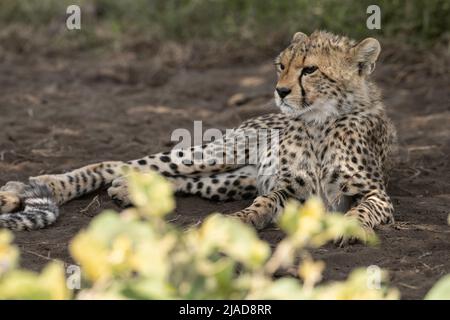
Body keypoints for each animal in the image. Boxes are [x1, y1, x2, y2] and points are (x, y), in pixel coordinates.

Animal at [0, 31, 396, 245]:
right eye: (280, 65)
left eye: (310, 69)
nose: (281, 91)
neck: (318, 123)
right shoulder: (287, 189)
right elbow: (264, 203)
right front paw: (241, 220)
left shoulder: (375, 194)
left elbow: (362, 209)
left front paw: (353, 229)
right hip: (223, 150)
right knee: (123, 163)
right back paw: (34, 187)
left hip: (235, 178)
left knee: (181, 181)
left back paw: (126, 191)